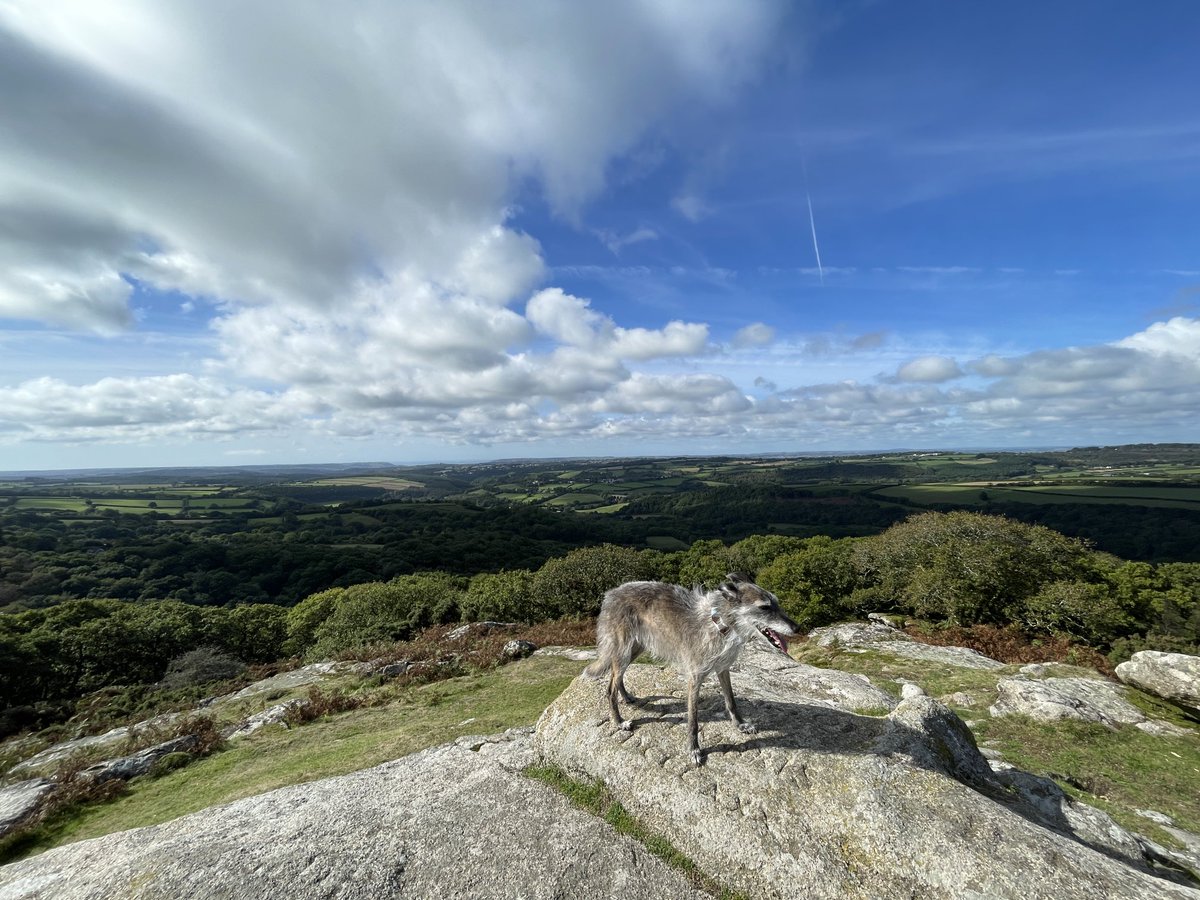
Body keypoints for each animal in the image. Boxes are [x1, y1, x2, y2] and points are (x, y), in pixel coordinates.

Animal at [585, 573, 801, 763]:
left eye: (777, 603)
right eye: (764, 607)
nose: (797, 628)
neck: (720, 625)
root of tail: (611, 593)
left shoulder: (723, 669)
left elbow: (731, 701)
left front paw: (740, 725)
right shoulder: (695, 678)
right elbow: (693, 720)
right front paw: (694, 749)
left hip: (635, 649)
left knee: (616, 677)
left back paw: (627, 697)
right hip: (623, 650)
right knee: (610, 688)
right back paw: (618, 721)